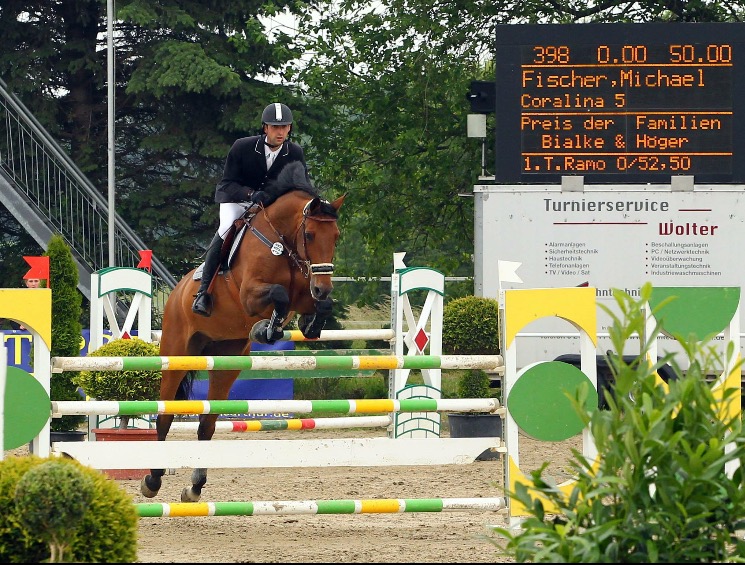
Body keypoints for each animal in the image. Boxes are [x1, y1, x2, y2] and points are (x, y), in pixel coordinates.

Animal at [141, 163, 344, 502]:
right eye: (310, 234)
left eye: (337, 237)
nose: (322, 286)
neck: (283, 242)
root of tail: (176, 292)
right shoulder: (251, 295)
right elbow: (279, 295)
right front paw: (266, 329)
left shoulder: (304, 294)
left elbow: (316, 306)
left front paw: (308, 324)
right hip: (177, 352)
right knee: (165, 416)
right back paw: (152, 480)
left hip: (227, 360)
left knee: (207, 424)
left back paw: (194, 487)